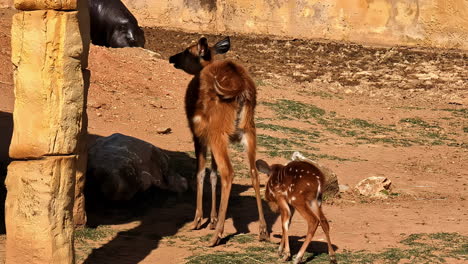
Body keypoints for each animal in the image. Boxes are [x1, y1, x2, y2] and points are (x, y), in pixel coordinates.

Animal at [169, 36, 268, 245]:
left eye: (187, 51)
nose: (172, 58)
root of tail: (242, 89)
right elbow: (213, 173)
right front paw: (212, 220)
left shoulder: (198, 134)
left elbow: (200, 172)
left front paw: (198, 221)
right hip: (249, 131)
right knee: (253, 171)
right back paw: (263, 231)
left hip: (218, 134)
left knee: (228, 172)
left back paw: (216, 237)